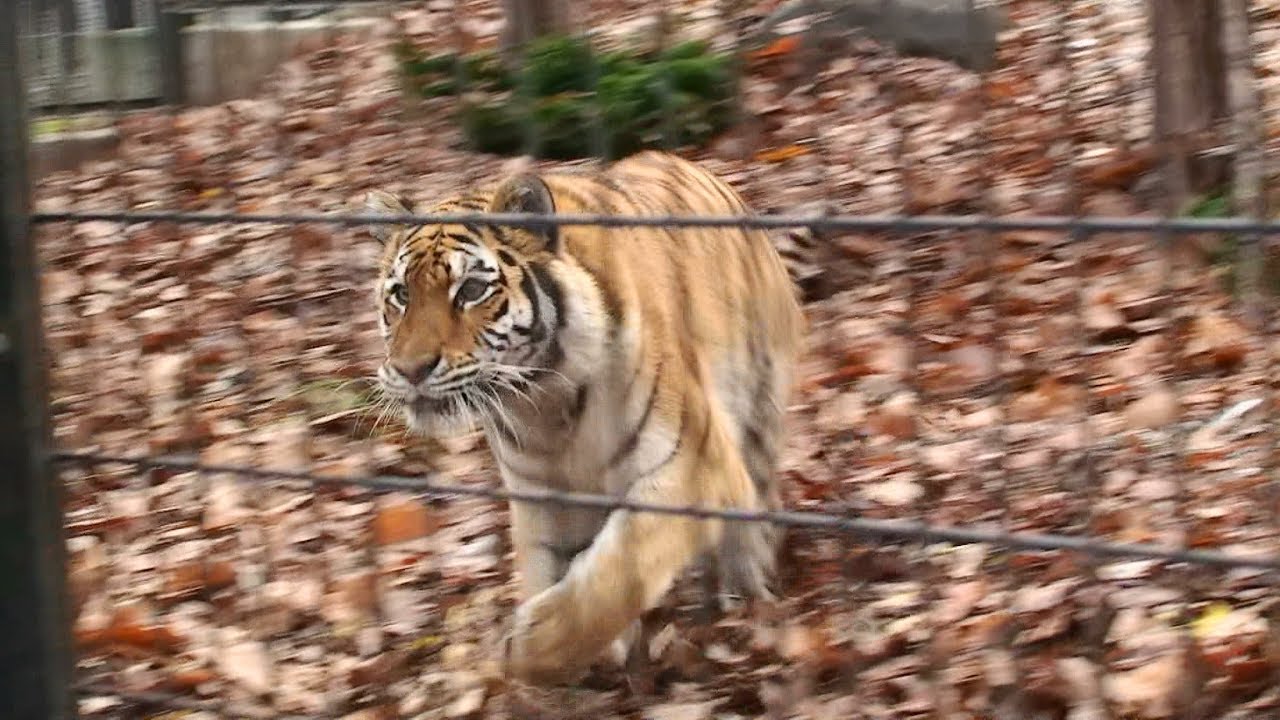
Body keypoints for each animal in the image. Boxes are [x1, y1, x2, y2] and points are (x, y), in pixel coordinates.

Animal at [362, 151, 806, 685]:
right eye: (401, 295)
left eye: (470, 290)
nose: (410, 370)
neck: (542, 402)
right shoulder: (541, 499)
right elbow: (551, 572)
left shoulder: (691, 467)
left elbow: (609, 582)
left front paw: (526, 646)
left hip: (758, 408)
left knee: (755, 508)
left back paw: (748, 592)